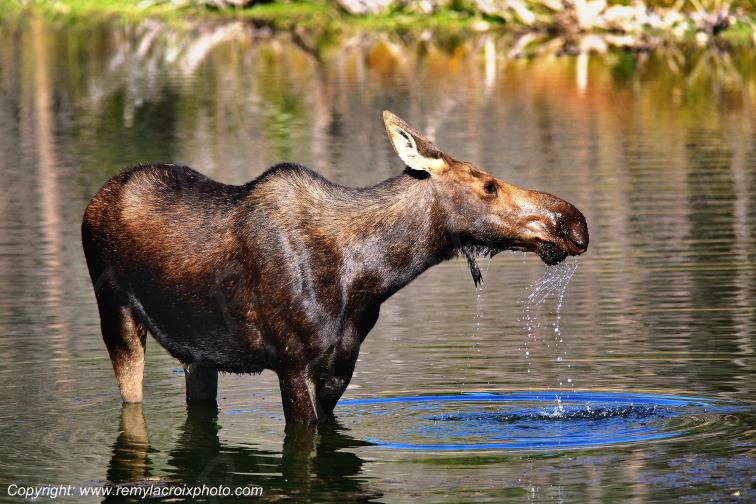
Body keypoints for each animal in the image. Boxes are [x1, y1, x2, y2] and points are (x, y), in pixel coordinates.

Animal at [82, 111, 588, 424]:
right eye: (488, 185)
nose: (574, 222)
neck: (372, 276)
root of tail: (97, 197)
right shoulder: (291, 363)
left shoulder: (341, 365)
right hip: (116, 315)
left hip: (200, 354)